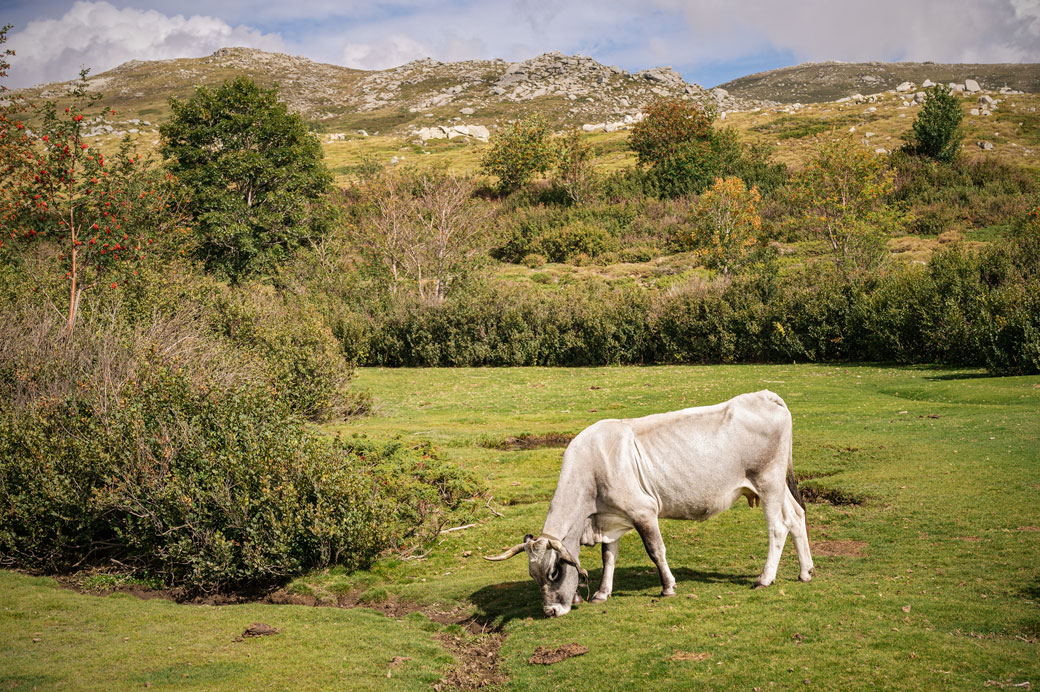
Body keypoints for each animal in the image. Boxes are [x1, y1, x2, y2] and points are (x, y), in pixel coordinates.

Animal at [486, 389, 811, 616]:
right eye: (533, 574)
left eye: (554, 572)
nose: (550, 611)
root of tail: (765, 395)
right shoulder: (611, 518)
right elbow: (608, 557)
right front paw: (602, 593)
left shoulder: (643, 511)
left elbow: (656, 550)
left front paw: (668, 587)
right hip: (778, 485)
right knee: (796, 516)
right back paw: (805, 571)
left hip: (768, 482)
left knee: (778, 527)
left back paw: (765, 578)